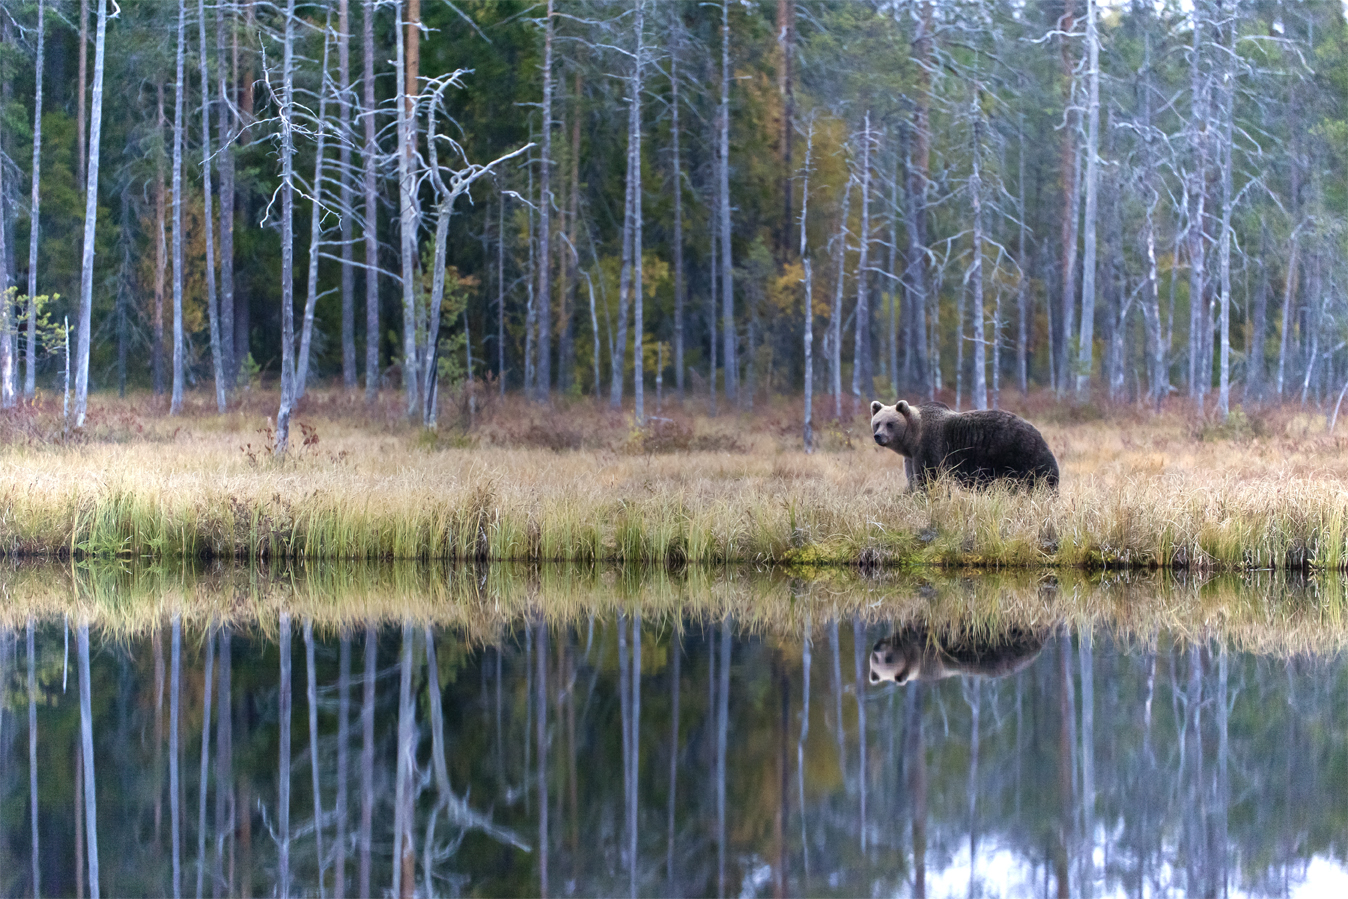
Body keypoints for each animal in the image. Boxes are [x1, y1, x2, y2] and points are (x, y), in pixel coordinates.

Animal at [873, 401, 1062, 493]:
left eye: (890, 424)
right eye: (877, 423)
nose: (878, 436)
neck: (913, 438)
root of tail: (1039, 434)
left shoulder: (930, 447)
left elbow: (930, 478)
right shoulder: (911, 457)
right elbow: (913, 480)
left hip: (1020, 456)